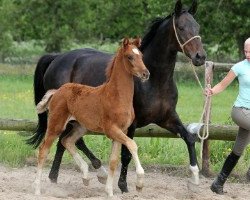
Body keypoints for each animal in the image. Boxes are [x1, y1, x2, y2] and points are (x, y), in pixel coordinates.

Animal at [34, 38, 149, 197]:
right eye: (130, 57)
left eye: (141, 56)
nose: (146, 73)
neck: (117, 96)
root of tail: (57, 91)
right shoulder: (111, 130)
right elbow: (132, 145)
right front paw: (139, 184)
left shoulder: (121, 131)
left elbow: (113, 161)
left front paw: (109, 192)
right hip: (56, 125)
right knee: (43, 150)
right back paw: (37, 189)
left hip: (80, 127)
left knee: (67, 141)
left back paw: (86, 176)